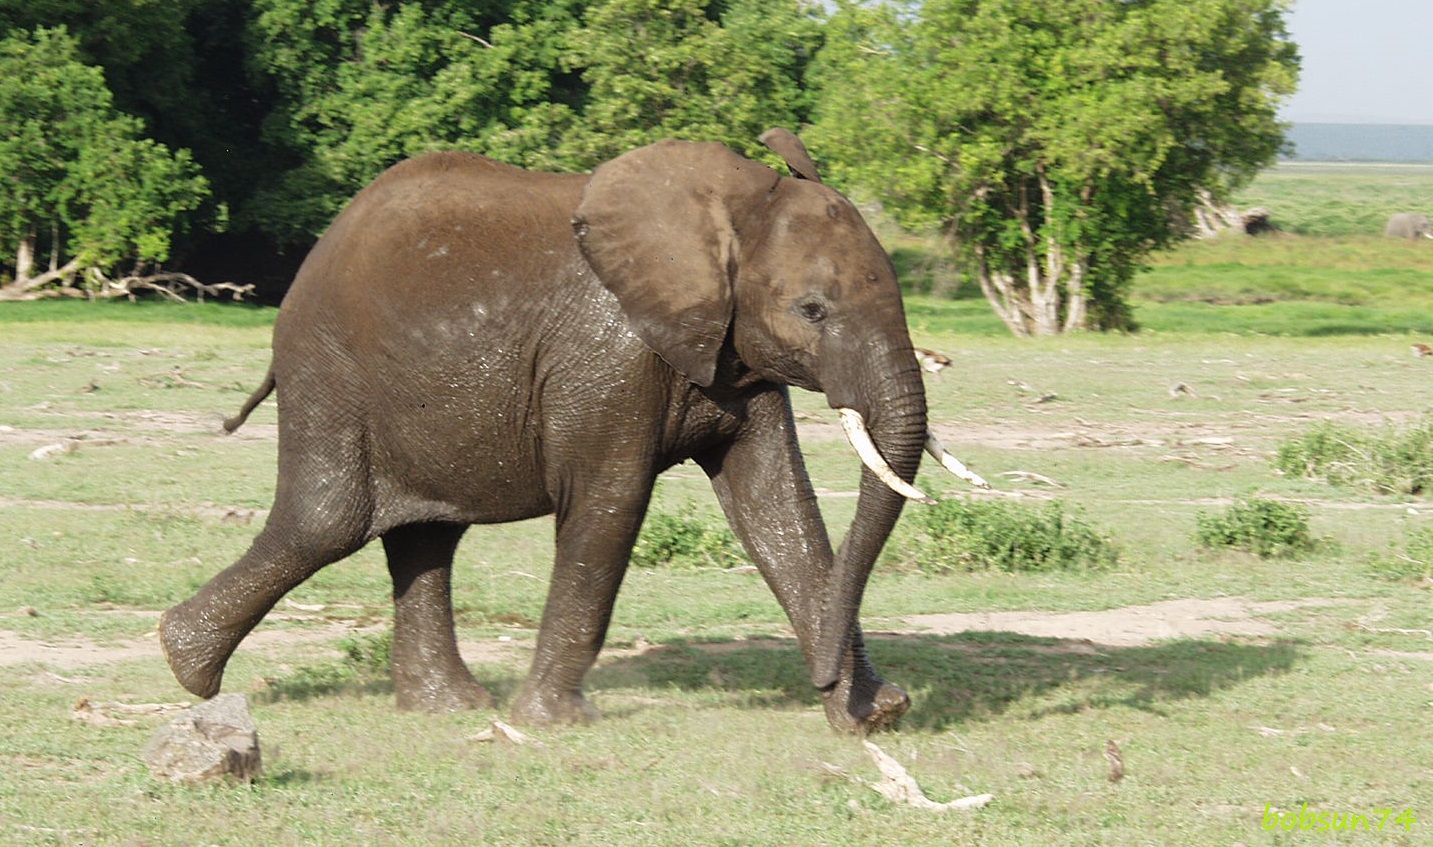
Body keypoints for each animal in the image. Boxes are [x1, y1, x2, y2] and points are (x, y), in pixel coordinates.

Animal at [162, 127, 980, 733]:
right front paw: (554, 724)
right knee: (327, 520)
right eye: (812, 310)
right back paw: (186, 666)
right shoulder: (608, 360)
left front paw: (871, 718)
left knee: (423, 535)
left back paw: (447, 707)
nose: (826, 678)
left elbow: (776, 505)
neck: (725, 204)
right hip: (330, 372)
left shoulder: (729, 350)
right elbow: (610, 502)